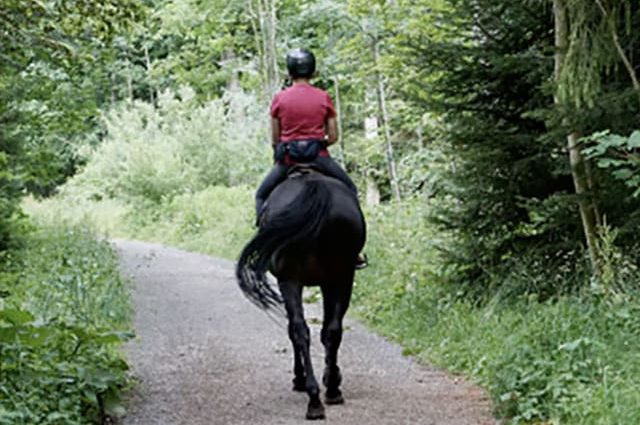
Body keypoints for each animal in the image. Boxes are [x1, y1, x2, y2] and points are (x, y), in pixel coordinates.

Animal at [235, 167, 364, 420]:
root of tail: (315, 188)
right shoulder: (328, 282)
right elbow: (325, 330)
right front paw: (328, 377)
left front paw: (302, 377)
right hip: (341, 277)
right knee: (327, 330)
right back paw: (326, 393)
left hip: (294, 279)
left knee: (300, 330)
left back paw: (314, 393)